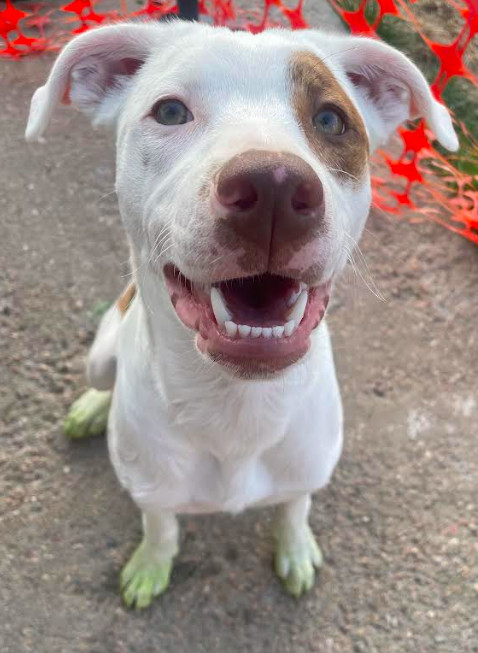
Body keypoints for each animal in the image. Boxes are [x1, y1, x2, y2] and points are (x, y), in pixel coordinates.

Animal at [25, 21, 456, 612]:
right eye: (169, 112)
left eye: (331, 119)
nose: (274, 186)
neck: (236, 407)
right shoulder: (154, 490)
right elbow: (160, 526)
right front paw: (151, 565)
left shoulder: (303, 474)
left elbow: (293, 510)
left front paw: (295, 550)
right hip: (100, 350)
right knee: (100, 376)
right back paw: (92, 408)